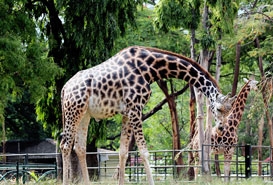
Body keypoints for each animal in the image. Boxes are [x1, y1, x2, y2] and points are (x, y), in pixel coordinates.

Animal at [60, 45, 235, 185]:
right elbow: (144, 152)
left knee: (80, 147)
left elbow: (123, 151)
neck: (150, 69)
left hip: (85, 114)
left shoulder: (127, 112)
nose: (221, 129)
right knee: (65, 145)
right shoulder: (136, 109)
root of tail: (64, 89)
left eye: (229, 111)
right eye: (219, 109)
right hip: (73, 110)